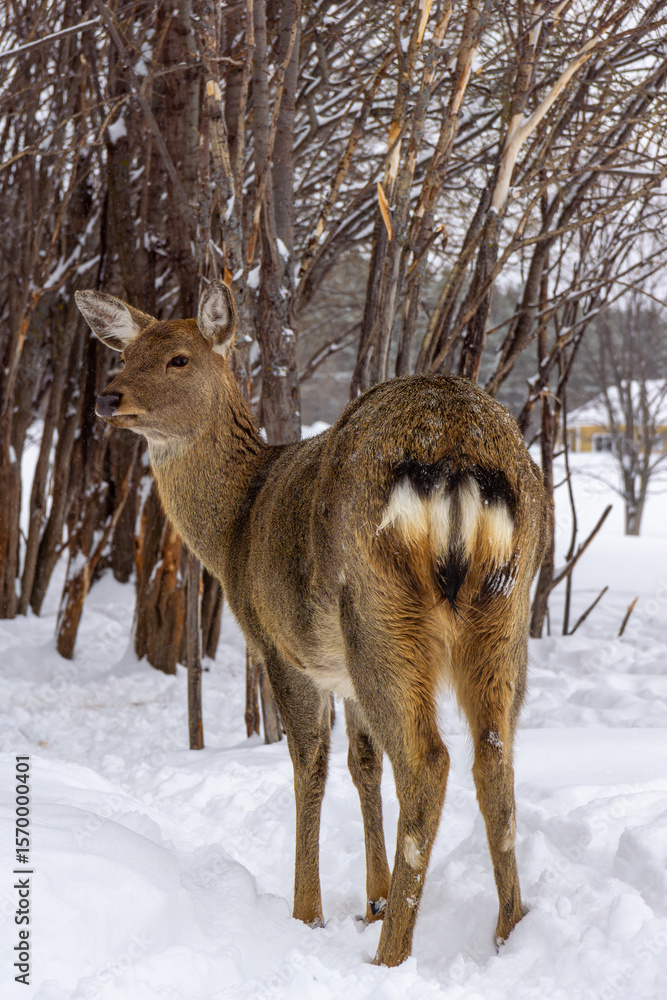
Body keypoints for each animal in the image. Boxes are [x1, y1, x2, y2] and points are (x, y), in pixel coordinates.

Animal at [76, 280, 551, 968]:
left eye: (178, 358)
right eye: (127, 352)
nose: (109, 397)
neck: (234, 530)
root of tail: (457, 453)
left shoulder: (279, 644)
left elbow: (310, 763)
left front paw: (308, 912)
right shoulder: (341, 673)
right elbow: (362, 762)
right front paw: (372, 896)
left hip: (378, 609)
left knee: (428, 759)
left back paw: (391, 954)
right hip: (505, 612)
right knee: (493, 753)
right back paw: (508, 930)